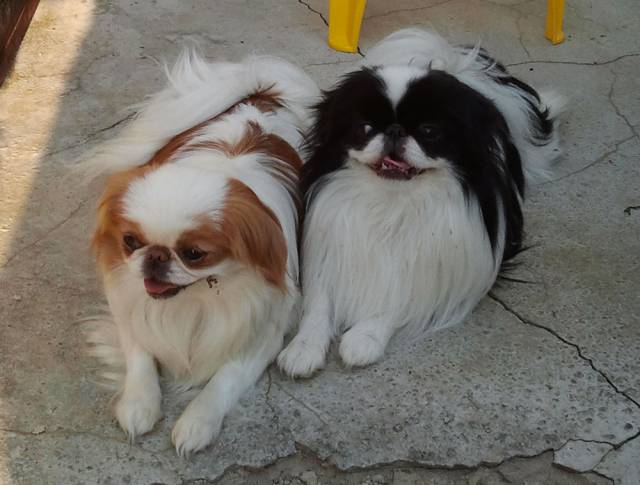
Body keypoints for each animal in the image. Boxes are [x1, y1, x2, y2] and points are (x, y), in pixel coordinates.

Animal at [85, 52, 318, 455]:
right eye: (130, 241)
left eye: (194, 253)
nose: (155, 257)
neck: (196, 298)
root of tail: (261, 95)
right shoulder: (129, 308)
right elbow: (140, 355)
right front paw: (139, 404)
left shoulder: (261, 335)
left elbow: (222, 381)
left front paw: (197, 423)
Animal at [278, 29, 563, 377]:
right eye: (365, 128)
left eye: (429, 131)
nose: (395, 130)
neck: (392, 203)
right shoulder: (328, 255)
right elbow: (318, 307)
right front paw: (302, 348)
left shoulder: (437, 270)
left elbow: (398, 299)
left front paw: (363, 339)